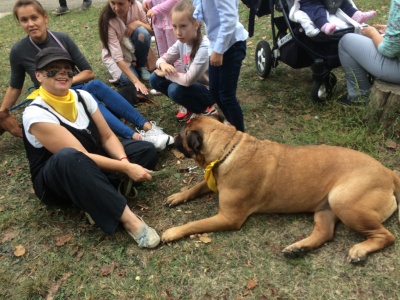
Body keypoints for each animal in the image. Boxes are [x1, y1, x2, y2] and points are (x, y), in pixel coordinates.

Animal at [162, 115, 400, 262]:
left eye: (182, 134)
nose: (172, 138)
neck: (227, 148)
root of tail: (389, 172)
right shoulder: (215, 182)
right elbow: (197, 186)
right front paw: (178, 196)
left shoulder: (229, 218)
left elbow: (195, 224)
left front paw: (174, 232)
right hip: (327, 207)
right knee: (325, 233)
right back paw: (298, 248)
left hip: (345, 202)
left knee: (386, 236)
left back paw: (360, 250)